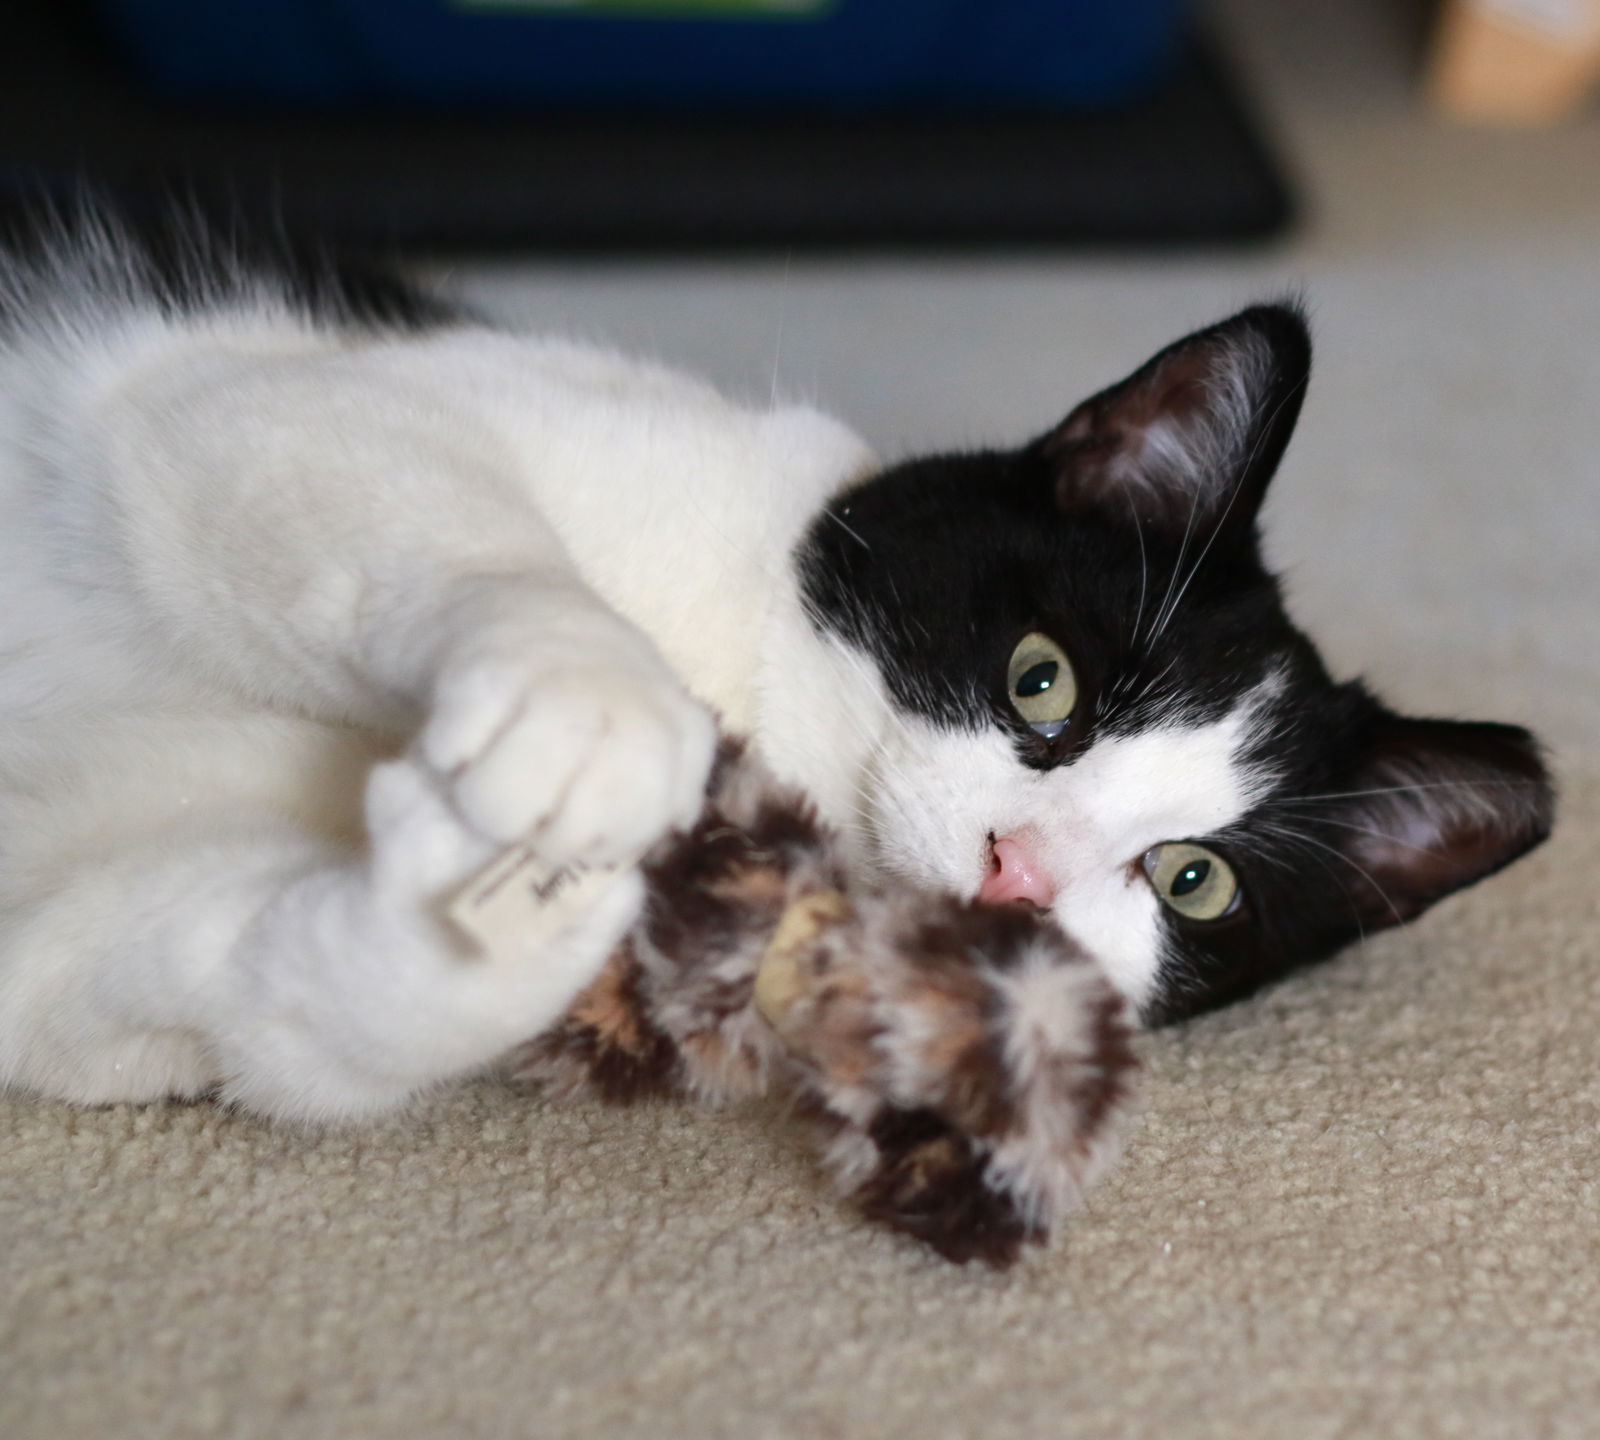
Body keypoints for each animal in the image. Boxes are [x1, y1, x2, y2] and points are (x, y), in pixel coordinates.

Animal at [0, 204, 1555, 1260]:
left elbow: (171, 984)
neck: (741, 676)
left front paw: (481, 890)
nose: (1017, 870)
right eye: (1041, 681)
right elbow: (307, 445)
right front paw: (591, 718)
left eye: (1194, 879)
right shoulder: (273, 389)